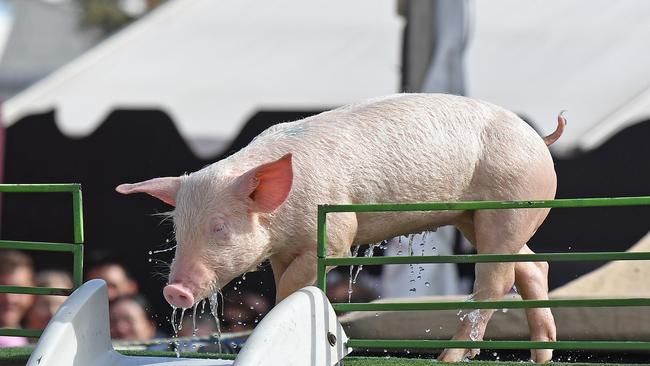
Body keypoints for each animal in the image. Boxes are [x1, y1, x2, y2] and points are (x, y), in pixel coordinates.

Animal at [116, 93, 560, 362]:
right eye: (177, 229)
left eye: (219, 226)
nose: (174, 290)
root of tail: (539, 139)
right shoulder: (280, 248)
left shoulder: (335, 232)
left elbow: (295, 284)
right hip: (478, 218)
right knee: (532, 266)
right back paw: (543, 354)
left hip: (508, 205)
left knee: (497, 280)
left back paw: (448, 357)